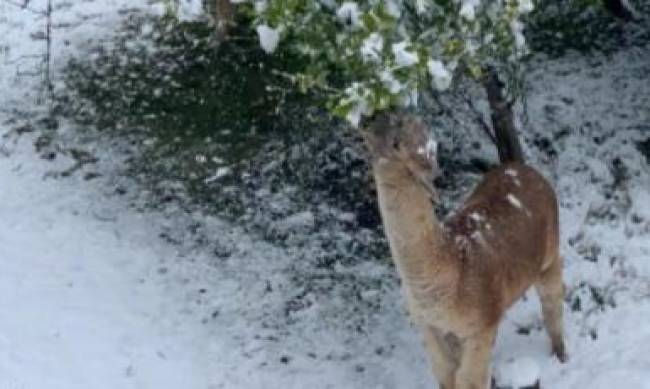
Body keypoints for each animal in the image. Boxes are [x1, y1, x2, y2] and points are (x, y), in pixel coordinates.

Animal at [362, 112, 564, 388]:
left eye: (397, 141)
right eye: (368, 139)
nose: (371, 122)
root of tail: (525, 168)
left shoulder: (481, 326)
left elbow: (469, 380)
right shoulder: (431, 327)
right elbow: (446, 374)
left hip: (550, 254)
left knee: (553, 302)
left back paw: (561, 355)